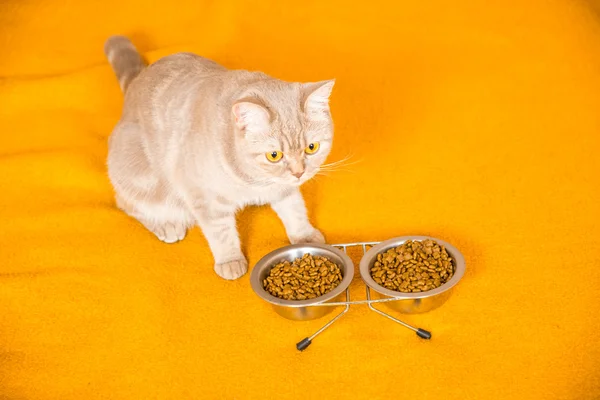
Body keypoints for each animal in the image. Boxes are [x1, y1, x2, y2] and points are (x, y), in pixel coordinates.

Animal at [105, 36, 336, 282]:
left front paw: (304, 234)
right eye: (274, 155)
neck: (254, 180)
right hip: (146, 180)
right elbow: (221, 232)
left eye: (312, 147)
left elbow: (294, 209)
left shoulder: (284, 188)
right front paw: (230, 259)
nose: (299, 172)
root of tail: (137, 80)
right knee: (127, 202)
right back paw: (167, 224)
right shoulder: (206, 198)